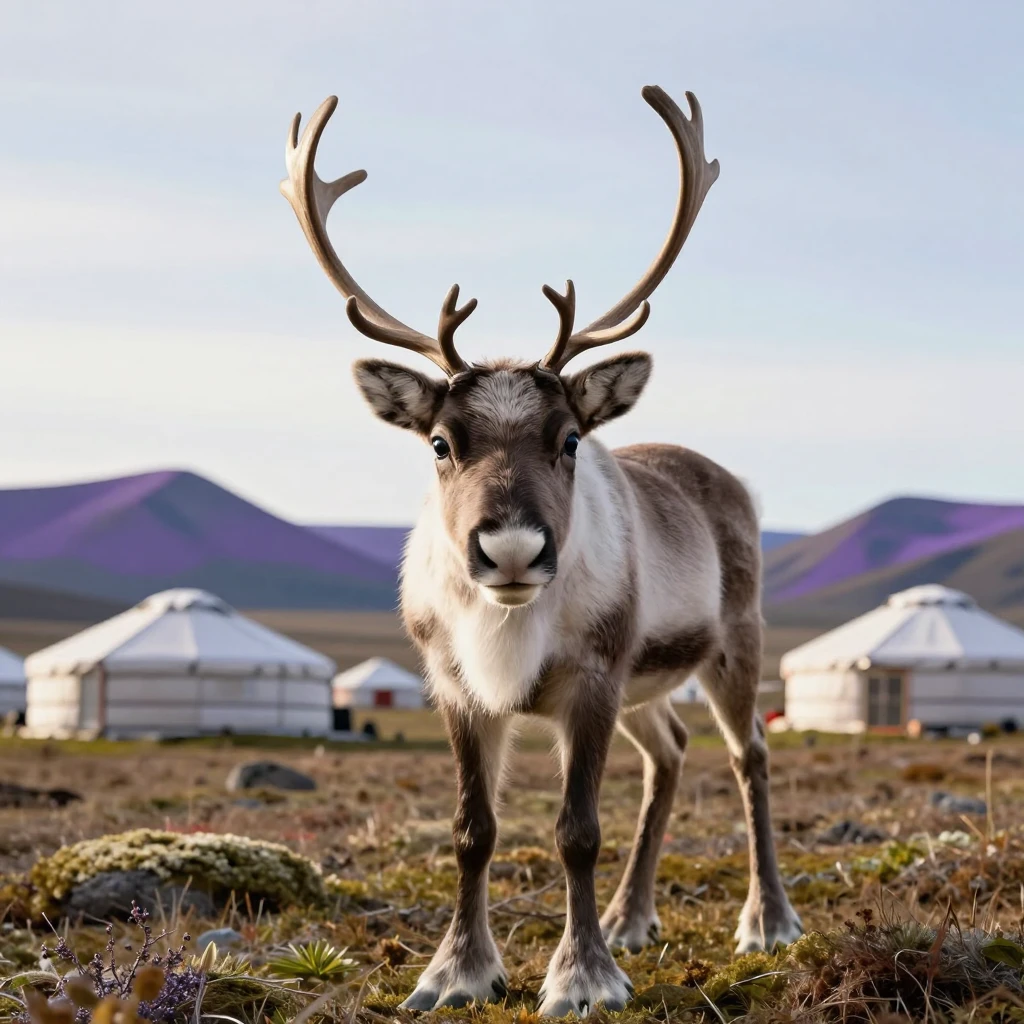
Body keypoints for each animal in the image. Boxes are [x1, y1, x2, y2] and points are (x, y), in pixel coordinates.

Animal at [281, 84, 803, 1017]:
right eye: (440, 442)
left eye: (568, 439)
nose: (513, 548)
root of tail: (728, 479)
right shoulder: (455, 688)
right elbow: (472, 830)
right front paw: (457, 971)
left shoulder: (591, 679)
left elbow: (576, 830)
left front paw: (582, 976)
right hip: (647, 683)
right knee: (669, 756)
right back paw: (633, 918)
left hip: (732, 646)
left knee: (749, 758)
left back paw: (765, 920)